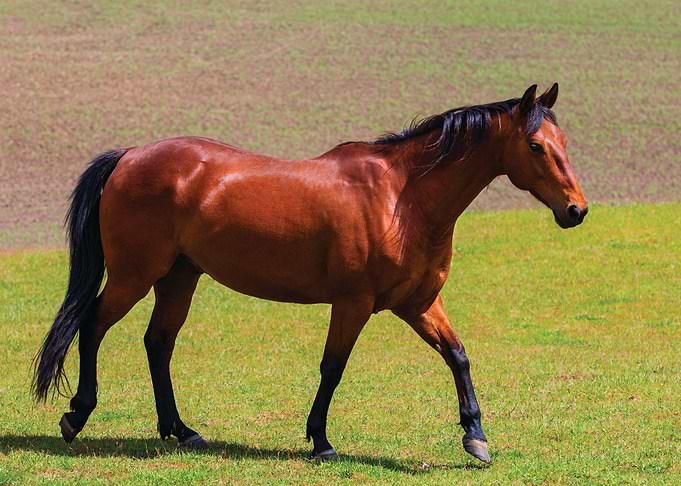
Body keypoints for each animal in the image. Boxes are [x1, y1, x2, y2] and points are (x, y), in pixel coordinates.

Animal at [33, 83, 587, 463]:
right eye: (535, 145)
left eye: (562, 139)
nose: (576, 211)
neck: (402, 197)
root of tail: (130, 156)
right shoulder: (353, 303)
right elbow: (333, 368)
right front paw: (320, 439)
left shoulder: (418, 303)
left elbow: (458, 356)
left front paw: (475, 436)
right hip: (135, 275)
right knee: (93, 327)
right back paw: (77, 414)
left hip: (179, 278)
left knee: (158, 343)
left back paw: (180, 430)